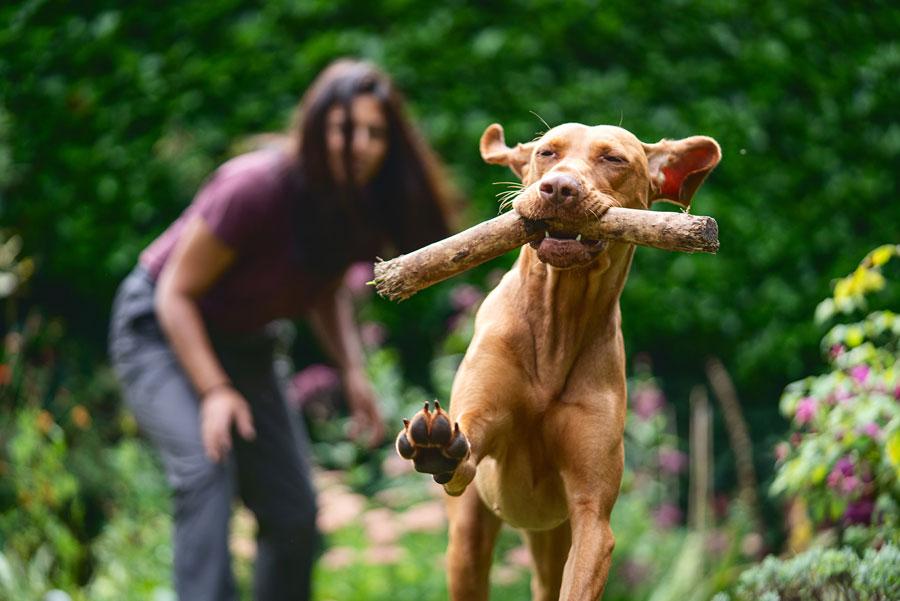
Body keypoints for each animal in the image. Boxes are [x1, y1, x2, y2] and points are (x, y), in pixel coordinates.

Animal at [398, 122, 720, 600]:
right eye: (547, 153)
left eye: (614, 159)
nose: (559, 188)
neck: (558, 326)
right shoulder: (474, 450)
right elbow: (464, 450)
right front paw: (437, 444)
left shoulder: (592, 517)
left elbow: (589, 549)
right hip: (467, 546)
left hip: (551, 539)